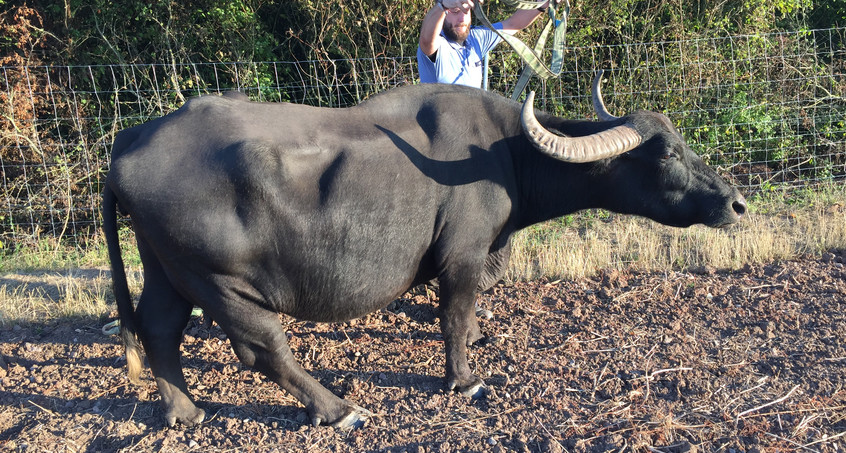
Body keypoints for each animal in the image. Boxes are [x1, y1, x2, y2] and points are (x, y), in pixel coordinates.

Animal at [104, 71, 748, 428]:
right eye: (666, 153)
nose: (737, 203)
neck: (504, 151)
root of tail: (131, 144)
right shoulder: (462, 254)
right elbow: (453, 314)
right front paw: (464, 377)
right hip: (220, 281)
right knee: (263, 348)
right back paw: (337, 409)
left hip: (166, 270)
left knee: (158, 328)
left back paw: (183, 412)